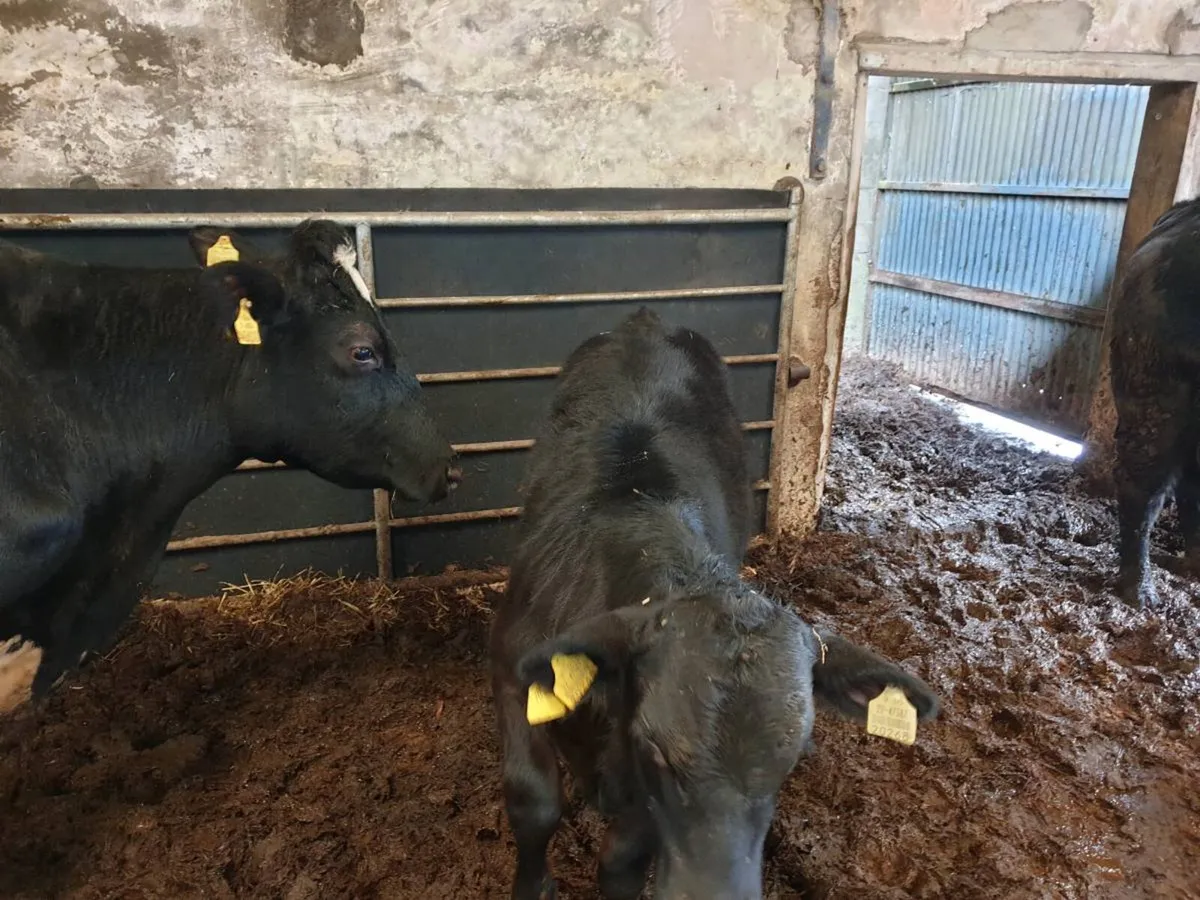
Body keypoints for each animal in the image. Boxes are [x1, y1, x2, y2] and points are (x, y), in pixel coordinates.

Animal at [490, 308, 940, 900]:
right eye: (656, 746)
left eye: (791, 761)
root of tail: (643, 321)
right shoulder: (512, 664)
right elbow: (534, 802)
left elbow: (621, 859)